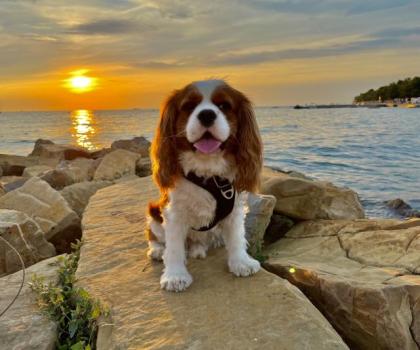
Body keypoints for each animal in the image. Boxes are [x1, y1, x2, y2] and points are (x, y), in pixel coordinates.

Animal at [146, 79, 260, 292]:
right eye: (189, 106)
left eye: (223, 106)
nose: (207, 114)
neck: (208, 172)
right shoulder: (173, 213)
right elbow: (174, 247)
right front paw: (175, 275)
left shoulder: (234, 209)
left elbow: (237, 237)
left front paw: (241, 262)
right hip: (154, 213)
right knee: (155, 237)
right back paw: (157, 251)